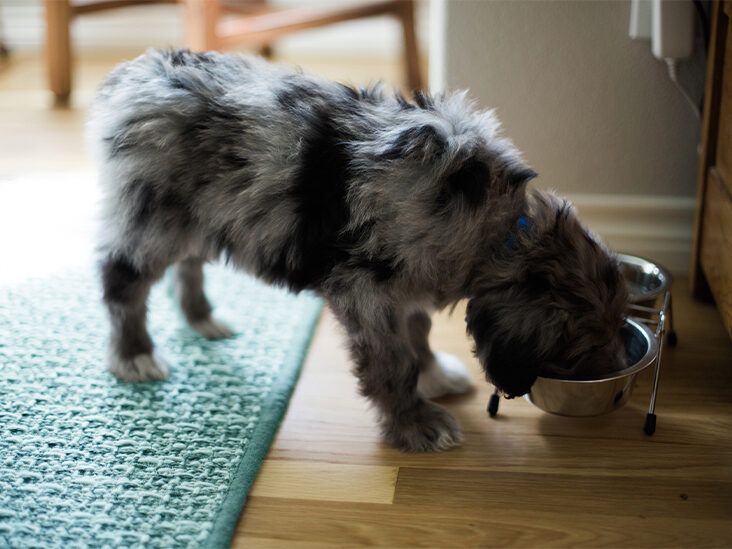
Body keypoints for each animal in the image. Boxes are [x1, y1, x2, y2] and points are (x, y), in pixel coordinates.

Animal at [88, 48, 628, 450]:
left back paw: (202, 318)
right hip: (155, 216)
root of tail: (137, 74)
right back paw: (136, 354)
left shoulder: (408, 281)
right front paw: (416, 423)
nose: (619, 376)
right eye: (585, 347)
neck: (500, 226)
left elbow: (418, 331)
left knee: (191, 263)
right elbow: (393, 360)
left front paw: (434, 375)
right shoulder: (367, 290)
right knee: (123, 281)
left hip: (203, 213)